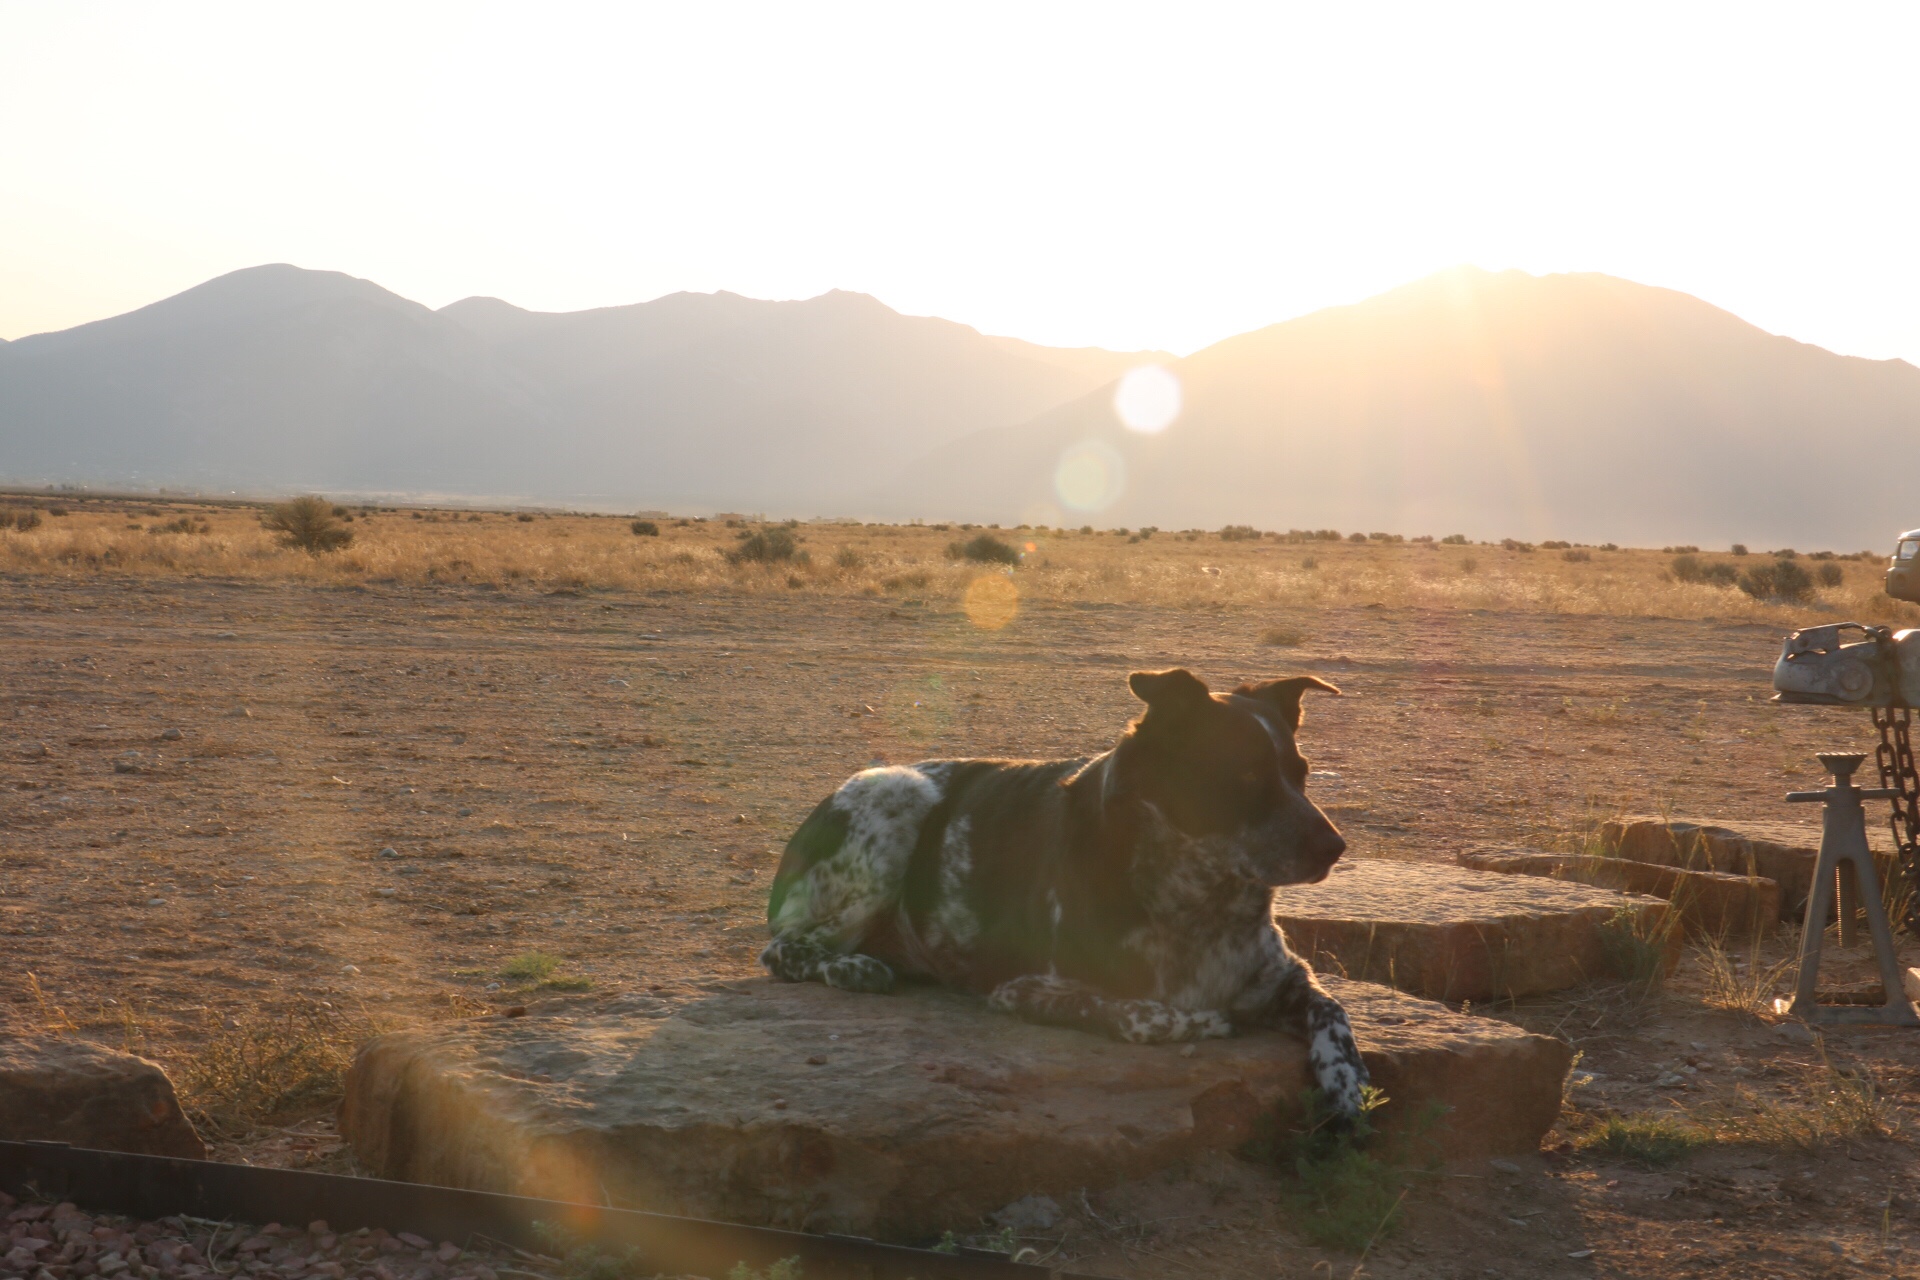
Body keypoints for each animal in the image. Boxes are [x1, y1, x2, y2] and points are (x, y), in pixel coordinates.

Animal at [759, 667, 1369, 1117]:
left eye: (1303, 773)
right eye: (1243, 776)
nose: (1335, 847)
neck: (1201, 897)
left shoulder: (1283, 979)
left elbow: (1333, 1010)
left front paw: (1348, 1083)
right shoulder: (1021, 989)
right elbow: (1135, 1014)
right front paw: (1203, 1022)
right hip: (896, 801)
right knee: (782, 948)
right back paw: (853, 968)